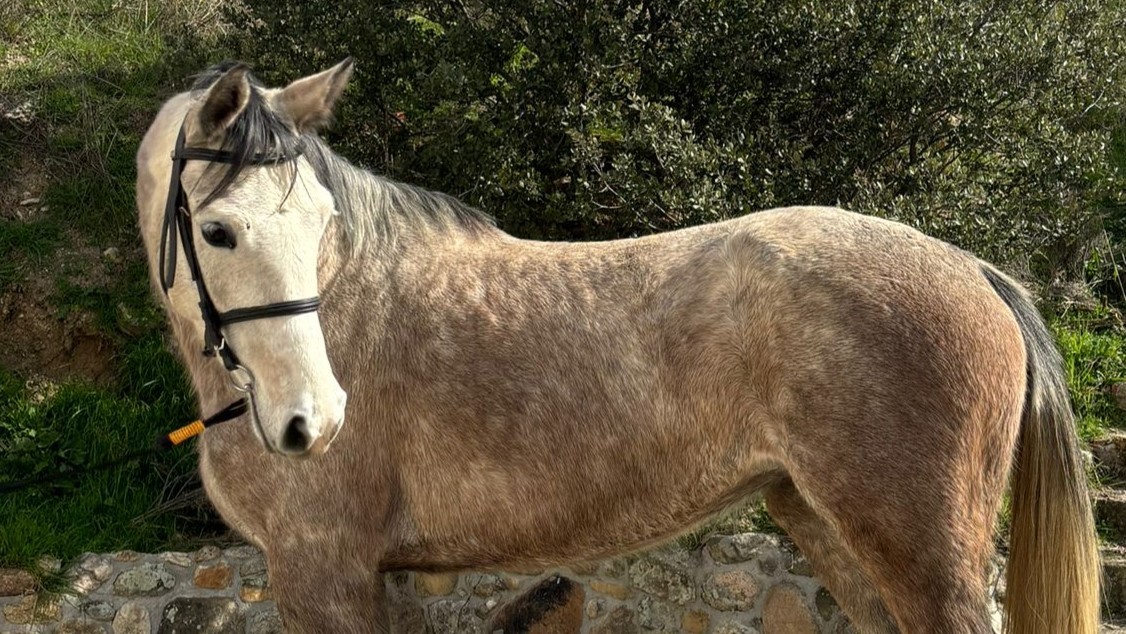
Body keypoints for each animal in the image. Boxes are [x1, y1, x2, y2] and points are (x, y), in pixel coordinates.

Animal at [134, 59, 1100, 633]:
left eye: (321, 222)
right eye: (217, 230)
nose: (313, 421)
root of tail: (973, 269)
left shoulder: (325, 571)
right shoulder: (378, 578)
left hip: (922, 551)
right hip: (824, 524)